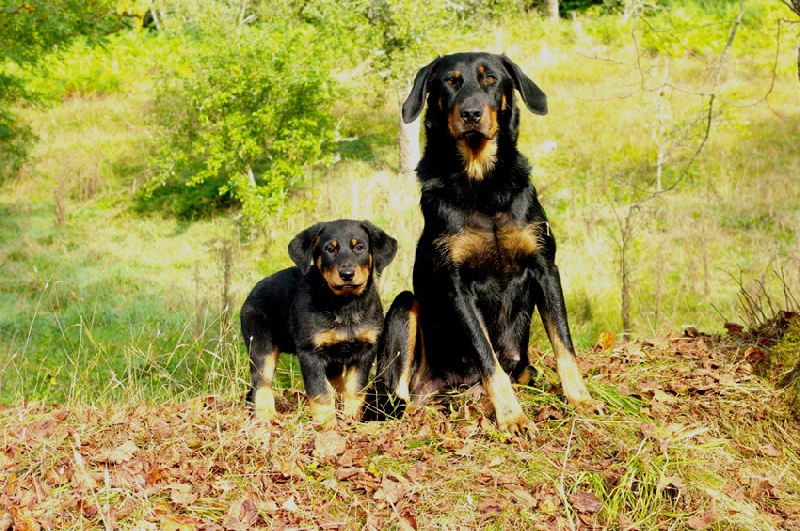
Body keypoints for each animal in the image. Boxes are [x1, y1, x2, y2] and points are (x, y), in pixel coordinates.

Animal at [241, 219, 396, 428]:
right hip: (260, 346)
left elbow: (355, 388)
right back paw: (267, 416)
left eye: (360, 247)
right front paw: (327, 425)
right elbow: (320, 391)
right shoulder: (310, 353)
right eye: (330, 249)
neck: (344, 306)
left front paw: (351, 419)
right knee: (261, 383)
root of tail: (251, 293)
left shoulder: (366, 350)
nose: (347, 274)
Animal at [376, 52, 592, 436]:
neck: (481, 181)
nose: (471, 113)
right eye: (450, 81)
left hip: (522, 366)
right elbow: (487, 356)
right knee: (398, 396)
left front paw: (580, 399)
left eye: (490, 78)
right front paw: (512, 417)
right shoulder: (456, 284)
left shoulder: (545, 266)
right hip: (405, 308)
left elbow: (564, 345)